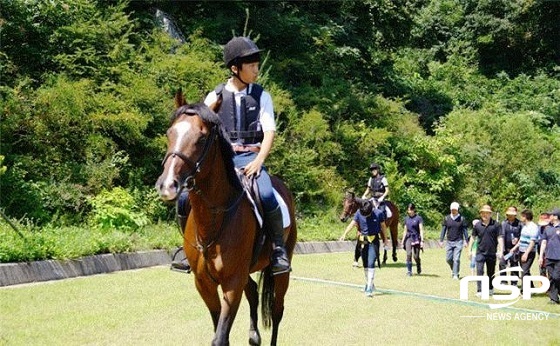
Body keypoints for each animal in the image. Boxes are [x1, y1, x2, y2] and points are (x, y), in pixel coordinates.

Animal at [155, 92, 296, 346]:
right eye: (170, 133)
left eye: (201, 138)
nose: (167, 185)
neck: (213, 219)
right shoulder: (204, 284)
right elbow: (220, 330)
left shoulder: (232, 282)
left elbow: (220, 337)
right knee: (253, 291)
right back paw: (253, 336)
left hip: (280, 270)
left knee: (277, 310)